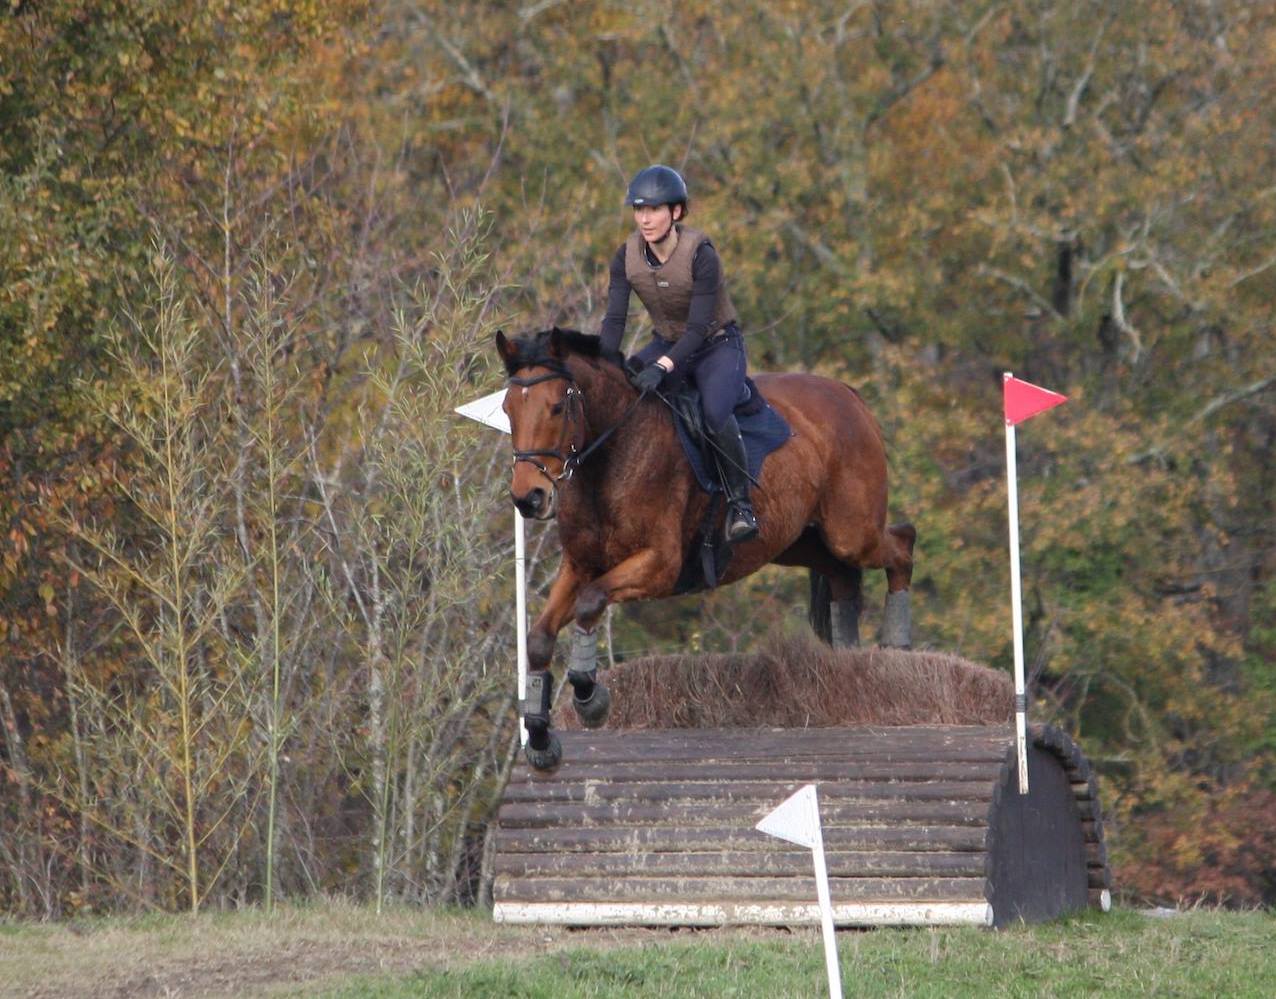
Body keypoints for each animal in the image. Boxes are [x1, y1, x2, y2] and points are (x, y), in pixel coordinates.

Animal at [496, 327, 915, 771]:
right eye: (508, 409)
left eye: (558, 407)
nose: (528, 499)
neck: (610, 457)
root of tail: (848, 394)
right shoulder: (579, 565)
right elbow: (539, 637)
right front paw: (540, 737)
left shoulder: (660, 565)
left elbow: (590, 603)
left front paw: (590, 698)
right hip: (794, 540)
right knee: (841, 576)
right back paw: (849, 659)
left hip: (850, 532)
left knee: (901, 544)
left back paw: (898, 644)